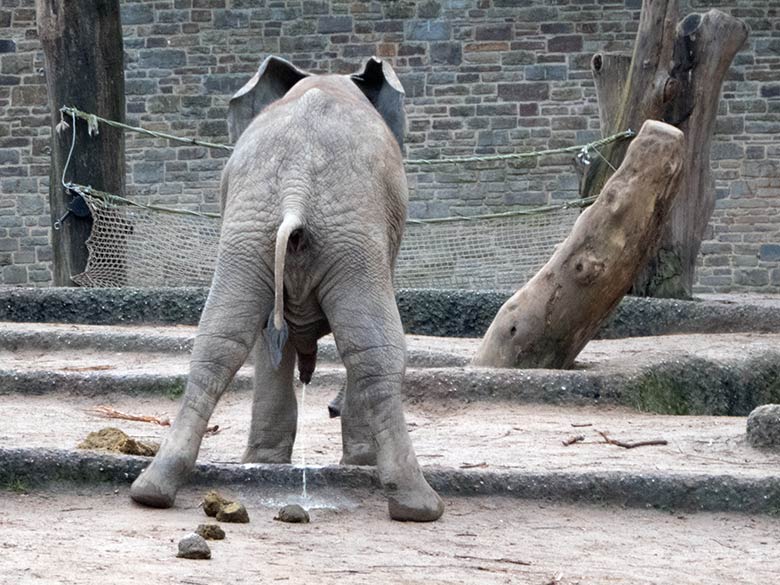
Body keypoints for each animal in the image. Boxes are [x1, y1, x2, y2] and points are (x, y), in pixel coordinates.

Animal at [131, 54, 442, 520]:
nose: (327, 407)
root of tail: (298, 185)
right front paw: (356, 461)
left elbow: (263, 334)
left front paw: (266, 462)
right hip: (349, 236)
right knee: (373, 348)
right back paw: (419, 506)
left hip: (251, 231)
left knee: (219, 340)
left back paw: (152, 490)